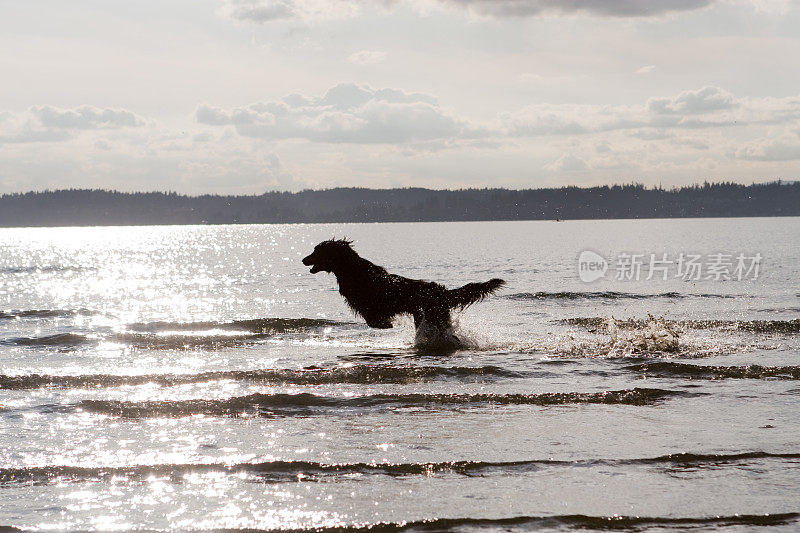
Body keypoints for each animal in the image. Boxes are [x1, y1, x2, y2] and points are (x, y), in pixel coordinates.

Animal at [304, 239, 504, 334]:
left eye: (316, 251)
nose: (303, 259)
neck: (350, 269)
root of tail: (441, 291)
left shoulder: (368, 304)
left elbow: (373, 319)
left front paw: (386, 325)